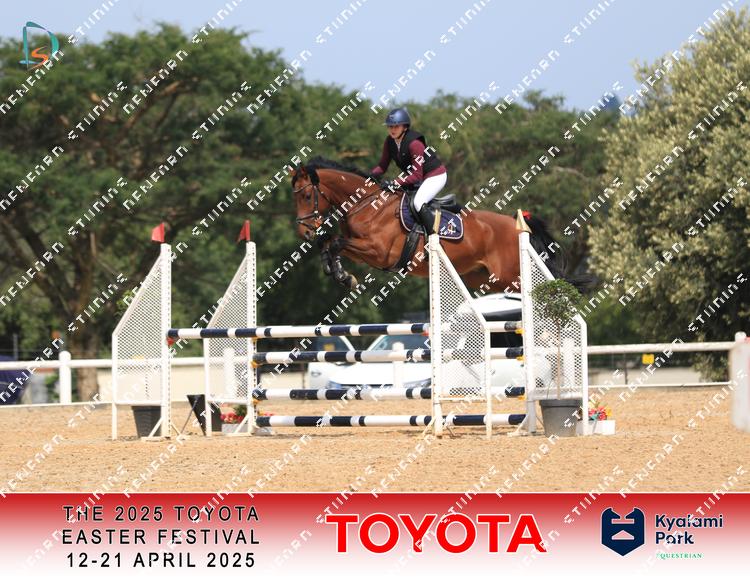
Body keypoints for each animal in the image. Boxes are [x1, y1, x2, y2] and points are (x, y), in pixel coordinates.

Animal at [289, 157, 568, 293]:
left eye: (306, 196)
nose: (304, 231)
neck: (368, 205)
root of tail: (514, 223)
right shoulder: (361, 251)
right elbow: (329, 243)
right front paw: (337, 271)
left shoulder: (378, 252)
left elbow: (336, 242)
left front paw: (343, 276)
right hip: (486, 278)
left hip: (511, 276)